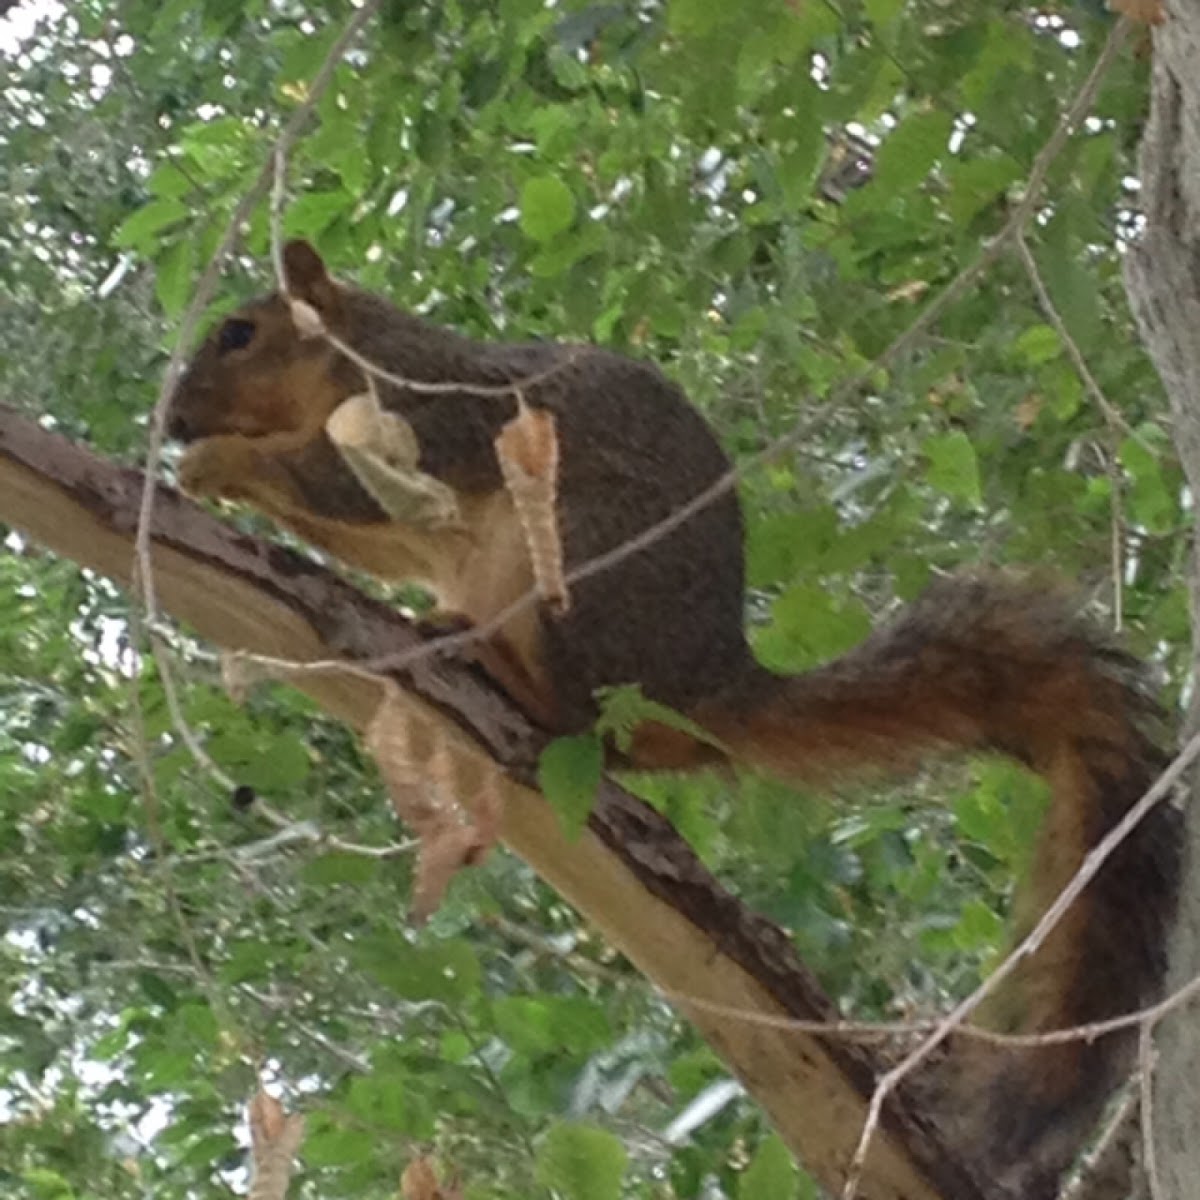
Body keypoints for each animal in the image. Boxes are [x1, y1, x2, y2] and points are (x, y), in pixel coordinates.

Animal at [169, 238, 1180, 1195]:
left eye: (239, 334)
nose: (175, 418)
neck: (349, 360)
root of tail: (702, 690)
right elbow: (365, 536)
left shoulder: (420, 416)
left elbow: (337, 483)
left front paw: (214, 463)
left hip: (574, 561)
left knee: (575, 718)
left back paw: (486, 659)